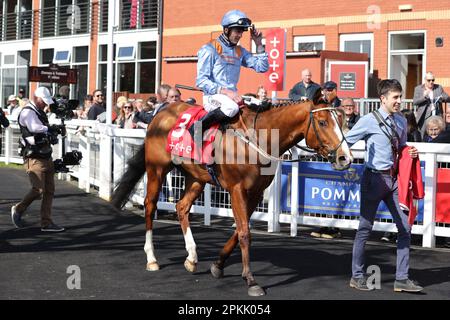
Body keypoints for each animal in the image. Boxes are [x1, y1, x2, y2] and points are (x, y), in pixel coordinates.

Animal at [111, 89, 352, 296]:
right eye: (322, 122)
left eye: (340, 122)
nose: (345, 158)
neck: (258, 138)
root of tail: (160, 113)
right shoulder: (237, 190)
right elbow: (244, 233)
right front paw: (251, 280)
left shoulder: (255, 192)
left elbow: (239, 230)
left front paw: (218, 265)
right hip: (157, 169)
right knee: (150, 205)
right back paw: (152, 258)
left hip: (197, 177)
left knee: (182, 207)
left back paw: (192, 256)